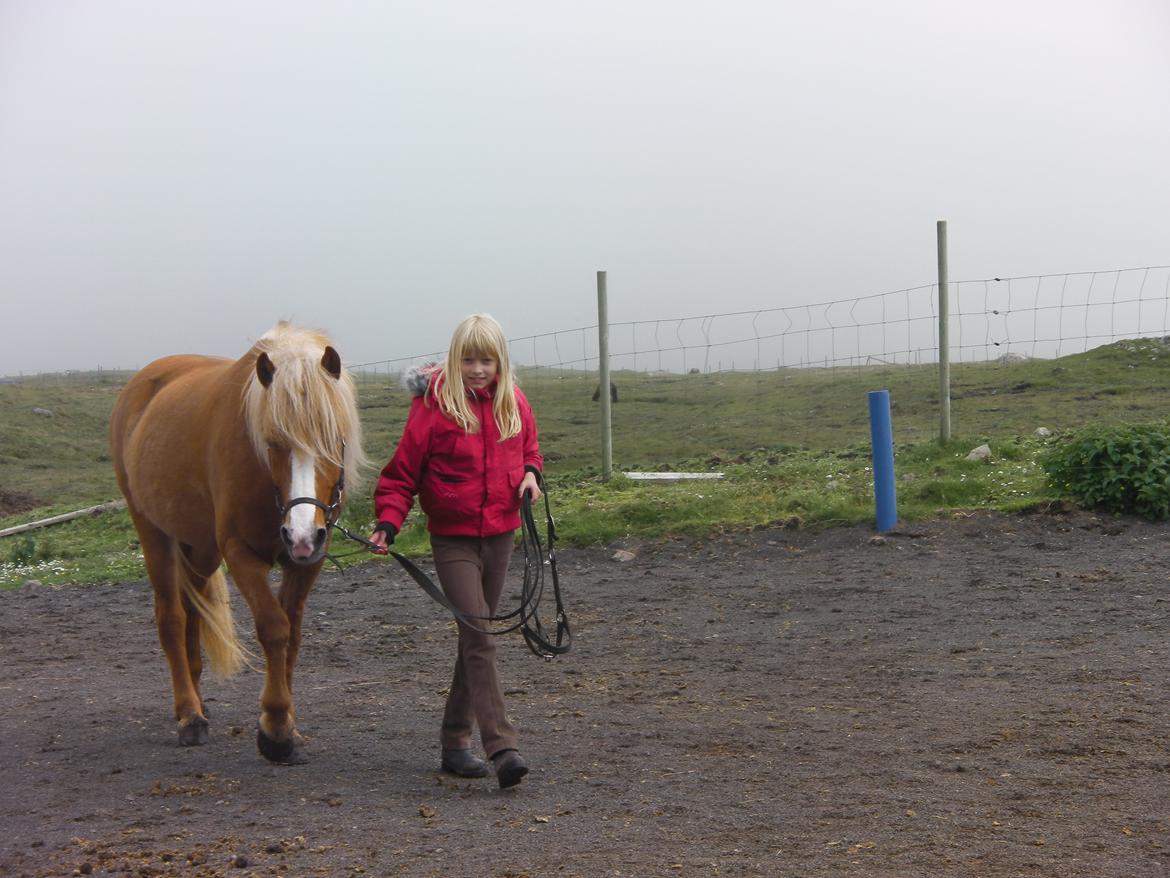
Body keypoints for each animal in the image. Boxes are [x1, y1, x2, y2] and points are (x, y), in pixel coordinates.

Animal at [110, 320, 365, 763]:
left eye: (334, 439)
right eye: (273, 442)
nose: (301, 534)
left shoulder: (309, 561)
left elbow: (293, 635)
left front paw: (288, 725)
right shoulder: (240, 552)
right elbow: (274, 628)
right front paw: (276, 729)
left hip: (199, 549)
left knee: (193, 612)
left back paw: (197, 698)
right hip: (154, 532)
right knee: (172, 619)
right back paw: (189, 715)